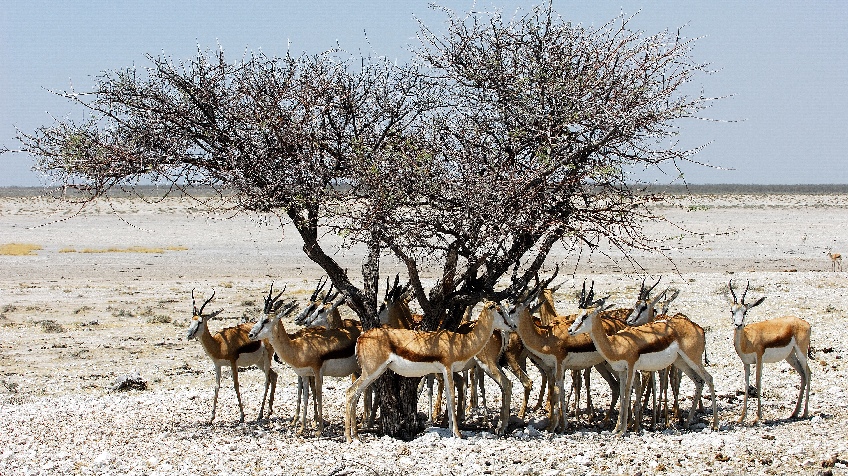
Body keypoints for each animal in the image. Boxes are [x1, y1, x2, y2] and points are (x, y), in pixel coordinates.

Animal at [186, 290, 276, 424]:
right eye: (191, 320)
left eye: (200, 321)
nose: (189, 335)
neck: (219, 344)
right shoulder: (217, 365)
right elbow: (216, 386)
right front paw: (211, 418)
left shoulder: (233, 362)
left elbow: (236, 385)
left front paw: (242, 416)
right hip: (259, 362)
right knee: (274, 376)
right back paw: (269, 412)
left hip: (266, 358)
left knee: (267, 380)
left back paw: (260, 414)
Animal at [728, 278, 808, 424]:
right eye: (732, 311)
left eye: (745, 311)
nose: (738, 325)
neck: (747, 340)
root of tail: (805, 323)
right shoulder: (746, 363)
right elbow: (746, 385)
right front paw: (741, 418)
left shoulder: (759, 359)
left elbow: (758, 383)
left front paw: (757, 417)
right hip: (790, 356)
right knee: (803, 375)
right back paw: (794, 413)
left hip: (802, 353)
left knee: (809, 374)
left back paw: (805, 413)